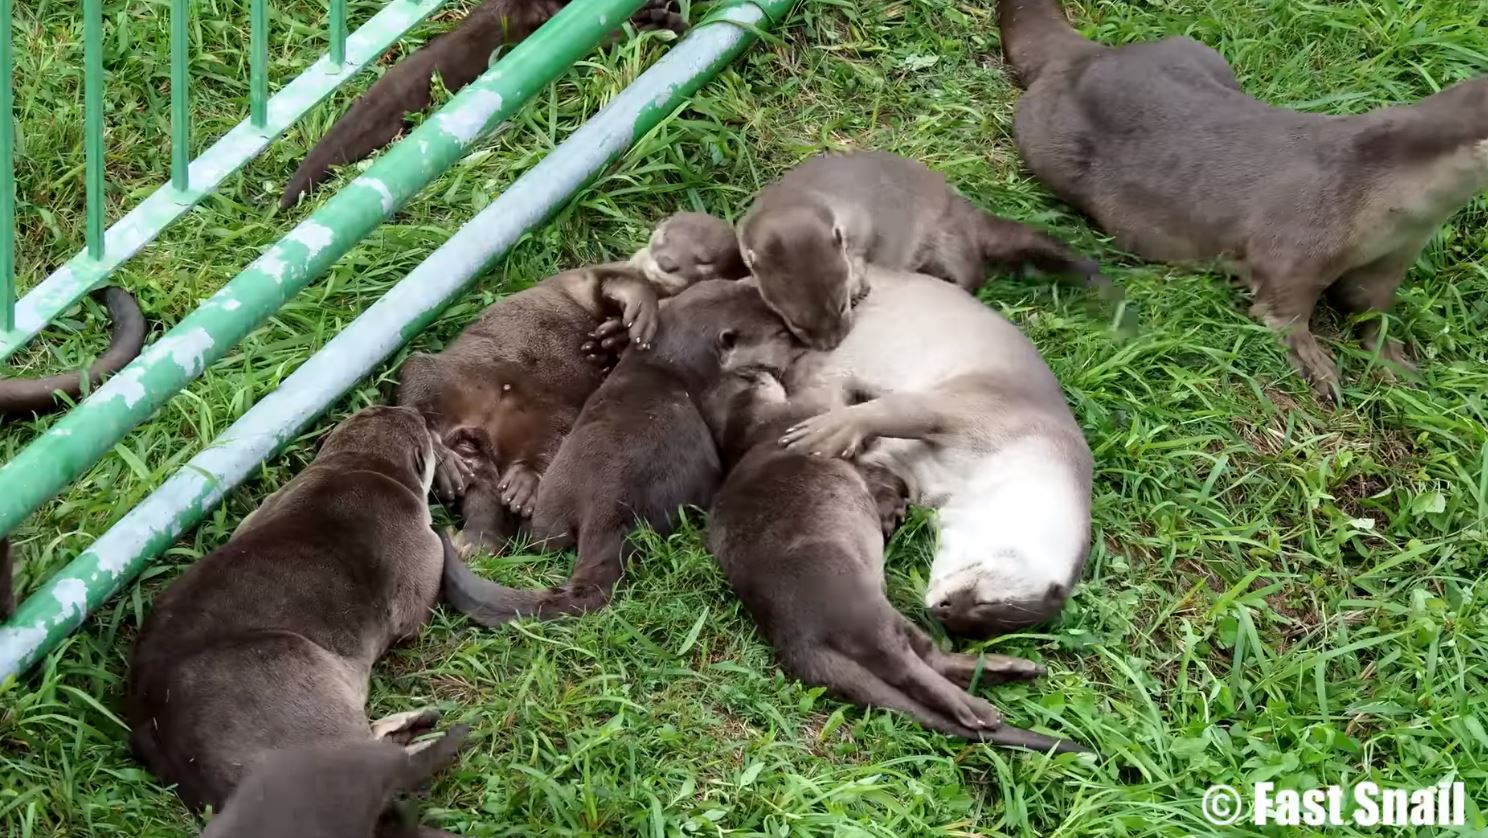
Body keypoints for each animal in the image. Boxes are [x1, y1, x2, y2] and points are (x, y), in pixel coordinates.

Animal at [125, 406, 451, 816]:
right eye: (422, 426)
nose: (416, 411)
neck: (360, 468)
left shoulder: (272, 501)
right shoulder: (420, 551)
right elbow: (416, 611)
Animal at [440, 279, 794, 625]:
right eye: (779, 333)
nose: (795, 343)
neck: (665, 362)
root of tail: (606, 519)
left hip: (553, 504)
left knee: (536, 538)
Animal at [705, 365, 1092, 754]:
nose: (759, 371)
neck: (762, 431)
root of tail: (794, 637)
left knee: (929, 656)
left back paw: (1011, 669)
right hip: (852, 601)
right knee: (903, 662)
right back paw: (976, 710)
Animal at [737, 150, 1110, 350]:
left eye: (842, 306)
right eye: (795, 323)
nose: (832, 344)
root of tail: (964, 210)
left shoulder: (863, 224)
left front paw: (860, 283)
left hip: (948, 240)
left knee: (973, 274)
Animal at [998, 0, 1488, 401]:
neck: (1378, 187)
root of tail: (1089, 56)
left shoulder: (1389, 257)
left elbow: (1372, 306)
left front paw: (1392, 357)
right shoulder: (1300, 237)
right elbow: (1282, 305)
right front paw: (1314, 362)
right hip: (1046, 142)